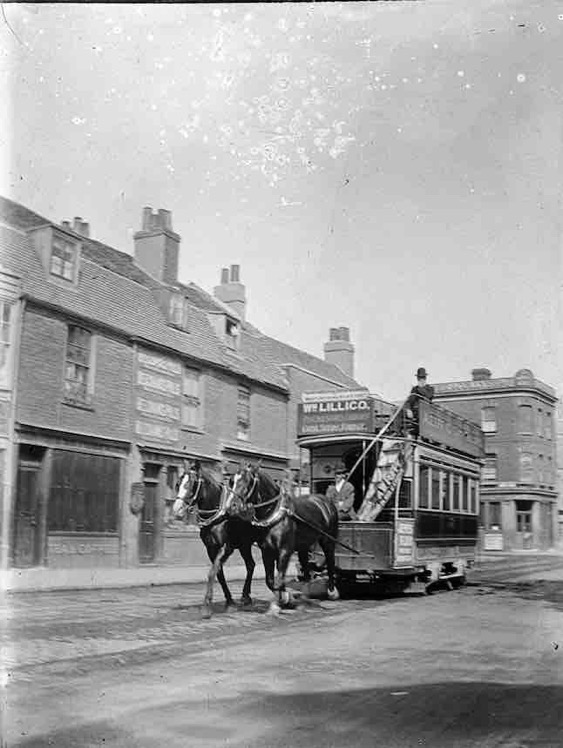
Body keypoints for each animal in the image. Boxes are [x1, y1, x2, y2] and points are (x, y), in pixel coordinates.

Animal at [174, 462, 258, 620]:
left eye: (192, 484)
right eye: (178, 483)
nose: (177, 509)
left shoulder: (226, 547)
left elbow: (213, 572)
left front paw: (207, 606)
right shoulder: (211, 548)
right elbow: (219, 573)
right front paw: (230, 602)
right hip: (245, 545)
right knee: (251, 565)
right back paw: (246, 597)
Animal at [229, 462, 340, 612]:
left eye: (248, 481)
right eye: (232, 481)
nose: (232, 506)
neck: (274, 513)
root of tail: (325, 501)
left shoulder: (285, 550)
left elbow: (279, 579)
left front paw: (279, 602)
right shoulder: (267, 551)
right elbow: (270, 580)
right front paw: (286, 597)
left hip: (328, 540)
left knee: (330, 561)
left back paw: (332, 591)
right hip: (304, 546)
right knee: (306, 571)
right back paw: (305, 597)